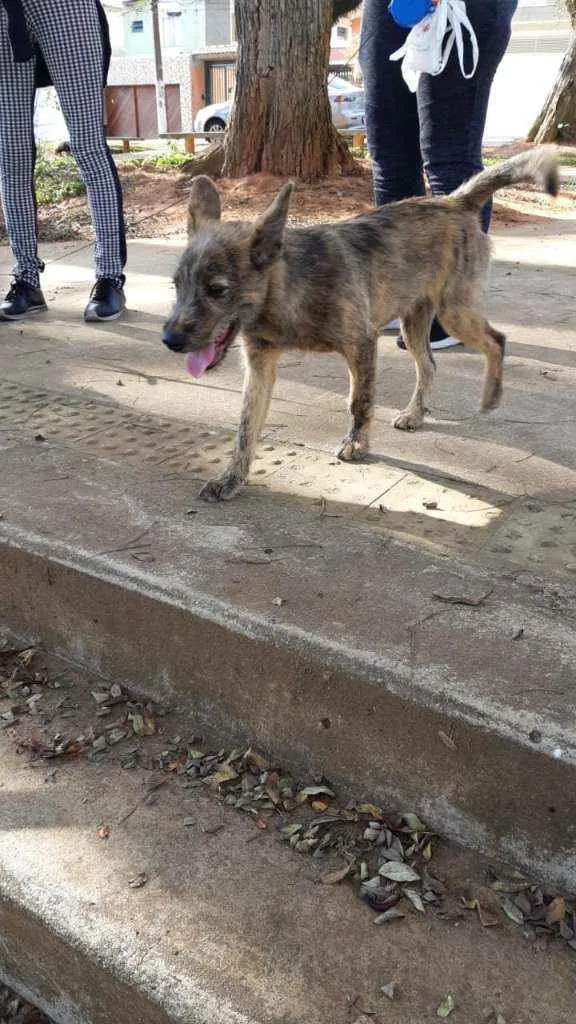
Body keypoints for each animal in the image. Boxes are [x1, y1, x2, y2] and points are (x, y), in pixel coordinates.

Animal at [161, 148, 557, 503]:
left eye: (217, 290)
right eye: (177, 285)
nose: (169, 340)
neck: (288, 291)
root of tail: (454, 201)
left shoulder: (362, 344)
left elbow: (359, 401)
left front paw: (356, 442)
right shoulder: (260, 367)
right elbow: (246, 427)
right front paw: (231, 478)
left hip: (455, 312)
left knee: (497, 340)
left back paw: (491, 395)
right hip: (413, 322)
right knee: (429, 365)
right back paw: (415, 414)